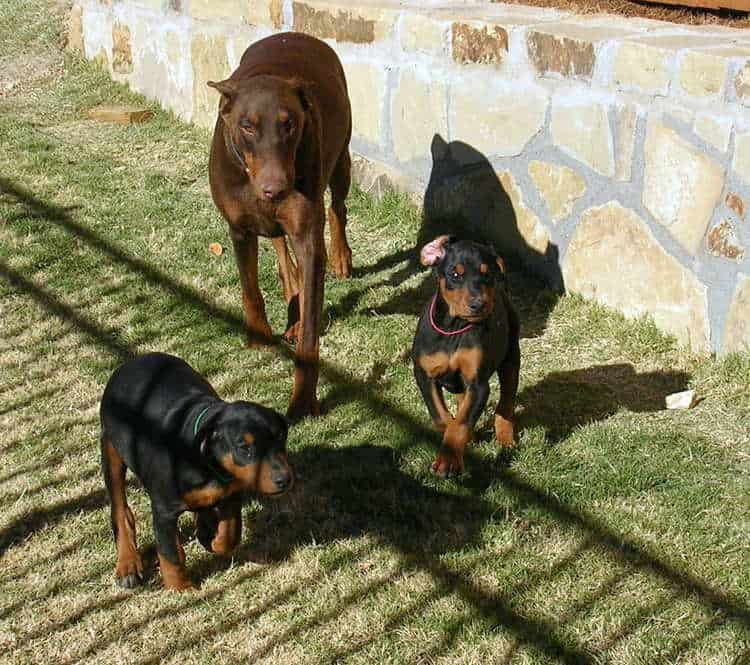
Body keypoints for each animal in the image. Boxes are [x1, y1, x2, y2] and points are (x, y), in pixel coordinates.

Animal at [97, 352, 290, 592]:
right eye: (244, 447)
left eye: (281, 437)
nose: (284, 480)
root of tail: (132, 362)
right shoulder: (164, 510)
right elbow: (170, 555)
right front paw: (181, 589)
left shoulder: (231, 494)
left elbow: (231, 533)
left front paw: (212, 540)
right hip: (111, 450)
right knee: (120, 510)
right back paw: (128, 565)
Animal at [207, 32, 354, 420]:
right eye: (247, 126)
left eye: (289, 124)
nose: (277, 189)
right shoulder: (239, 228)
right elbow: (250, 289)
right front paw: (260, 339)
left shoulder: (307, 235)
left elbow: (310, 332)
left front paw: (303, 399)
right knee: (279, 248)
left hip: (341, 159)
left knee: (337, 207)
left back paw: (340, 258)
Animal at [412, 236, 524, 474]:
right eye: (455, 275)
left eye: (487, 275)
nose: (478, 305)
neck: (454, 328)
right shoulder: (424, 375)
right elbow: (442, 417)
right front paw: (453, 446)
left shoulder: (478, 384)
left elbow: (462, 421)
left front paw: (448, 460)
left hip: (511, 357)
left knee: (506, 403)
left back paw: (506, 438)